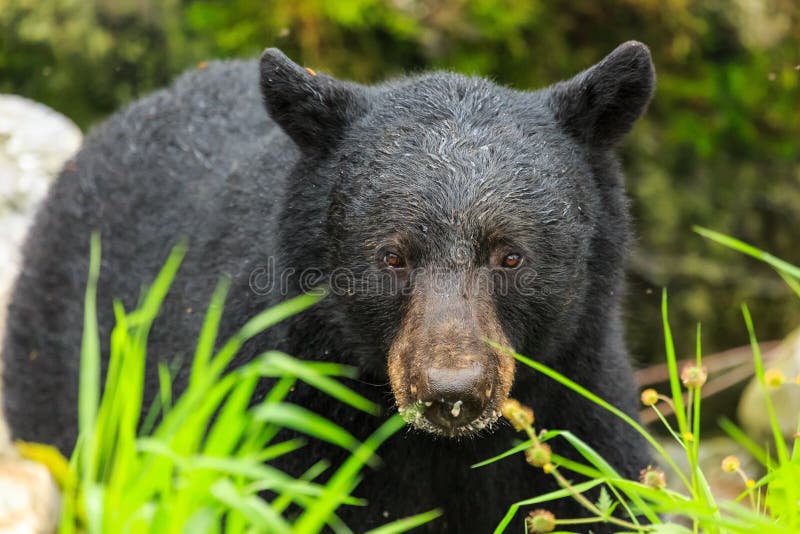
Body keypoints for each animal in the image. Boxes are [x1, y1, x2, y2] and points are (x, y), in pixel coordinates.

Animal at [2, 41, 655, 532]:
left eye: (511, 254)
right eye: (392, 255)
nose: (452, 391)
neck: (442, 447)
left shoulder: (577, 403)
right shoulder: (277, 409)